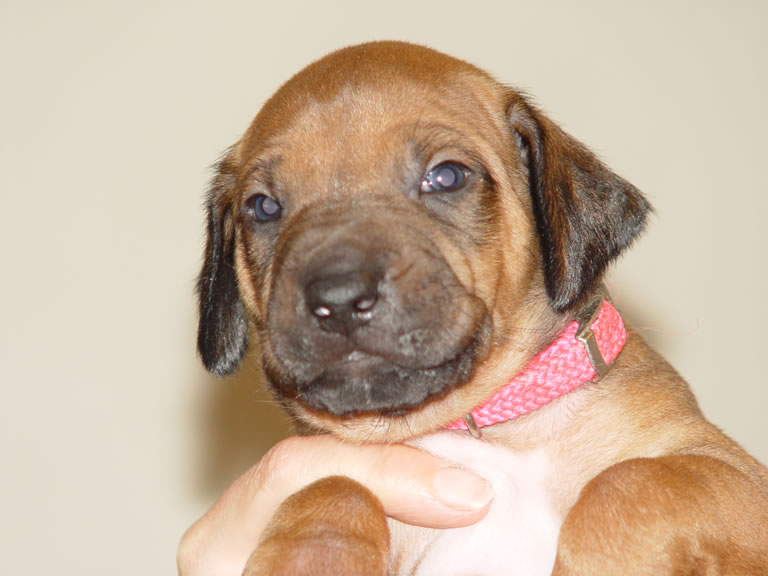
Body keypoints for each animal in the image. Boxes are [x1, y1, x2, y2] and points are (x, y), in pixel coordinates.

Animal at [196, 41, 768, 575]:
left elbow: (632, 481)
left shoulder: (731, 473)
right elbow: (331, 486)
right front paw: (312, 556)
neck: (484, 432)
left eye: (446, 176)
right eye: (263, 207)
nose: (336, 299)